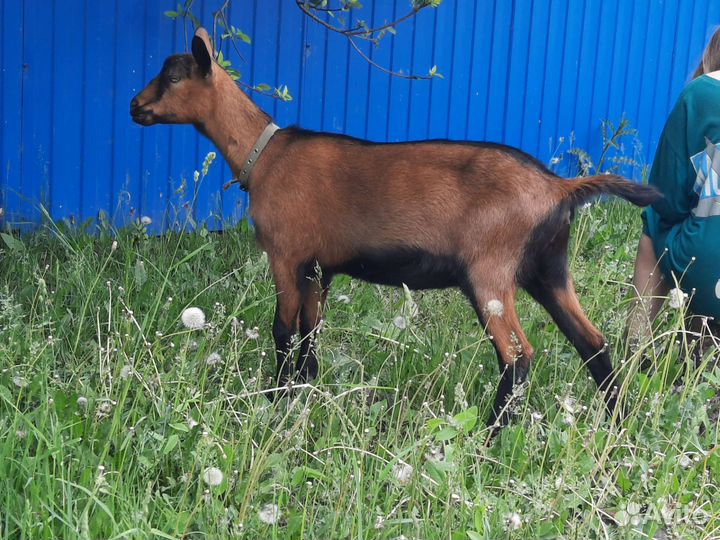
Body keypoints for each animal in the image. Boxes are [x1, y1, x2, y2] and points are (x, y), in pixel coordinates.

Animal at [131, 28, 660, 429]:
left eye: (173, 75)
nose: (135, 107)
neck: (266, 156)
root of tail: (559, 187)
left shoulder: (285, 255)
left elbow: (282, 329)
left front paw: (275, 399)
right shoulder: (319, 268)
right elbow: (309, 332)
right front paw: (304, 390)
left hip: (490, 272)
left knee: (518, 354)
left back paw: (489, 437)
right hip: (547, 269)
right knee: (592, 342)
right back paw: (617, 422)